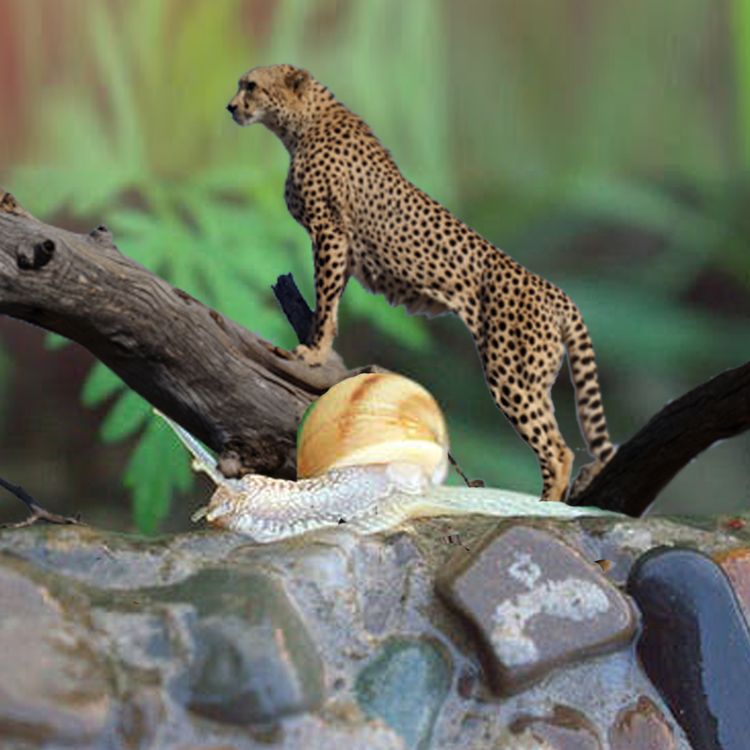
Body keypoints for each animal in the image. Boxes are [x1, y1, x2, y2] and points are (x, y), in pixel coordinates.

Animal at [226, 64, 615, 501]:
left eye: (251, 86)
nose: (231, 106)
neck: (303, 122)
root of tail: (556, 291)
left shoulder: (329, 233)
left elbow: (326, 300)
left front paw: (312, 353)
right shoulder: (342, 246)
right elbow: (332, 302)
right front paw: (318, 343)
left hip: (511, 373)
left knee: (557, 448)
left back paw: (547, 503)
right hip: (536, 377)